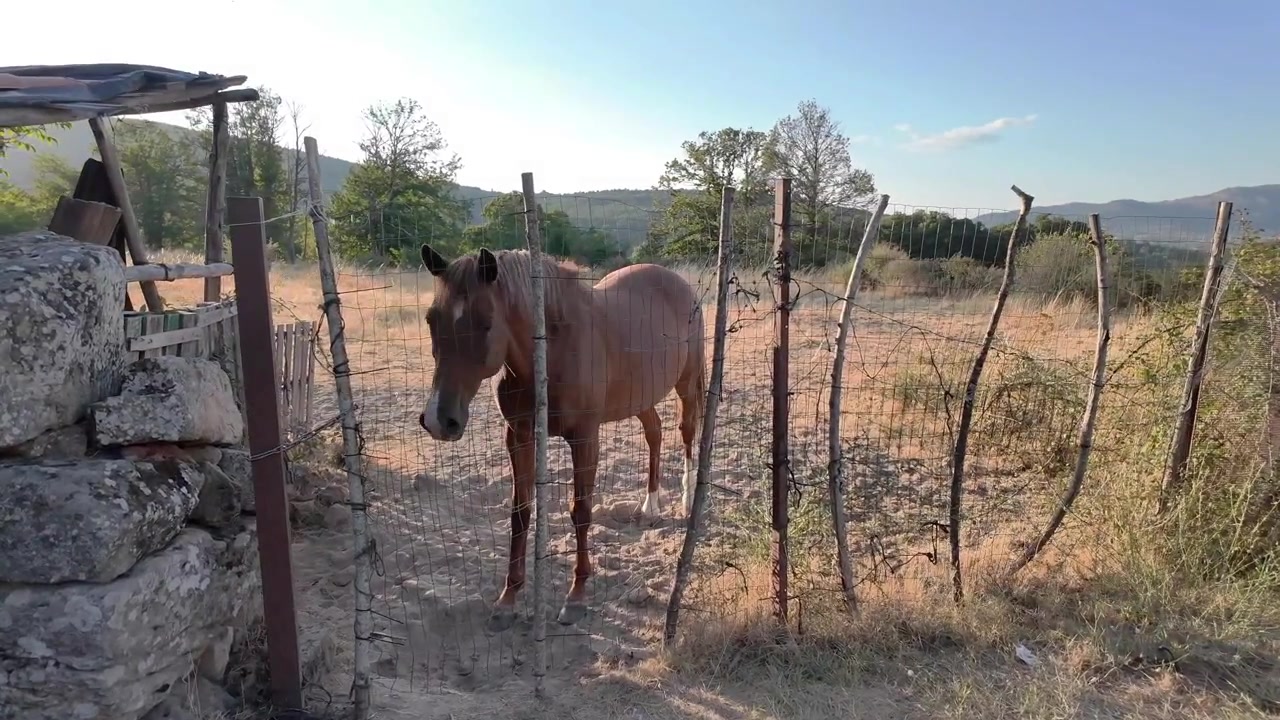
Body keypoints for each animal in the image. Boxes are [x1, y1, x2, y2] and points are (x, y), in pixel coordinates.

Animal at [416, 244, 707, 631]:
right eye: (432, 320)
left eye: (485, 322)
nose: (438, 420)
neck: (549, 353)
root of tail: (678, 283)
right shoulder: (518, 436)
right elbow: (520, 512)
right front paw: (508, 599)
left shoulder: (584, 439)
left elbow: (580, 511)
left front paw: (577, 596)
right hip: (640, 396)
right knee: (654, 433)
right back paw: (650, 507)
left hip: (687, 384)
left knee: (687, 433)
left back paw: (688, 503)